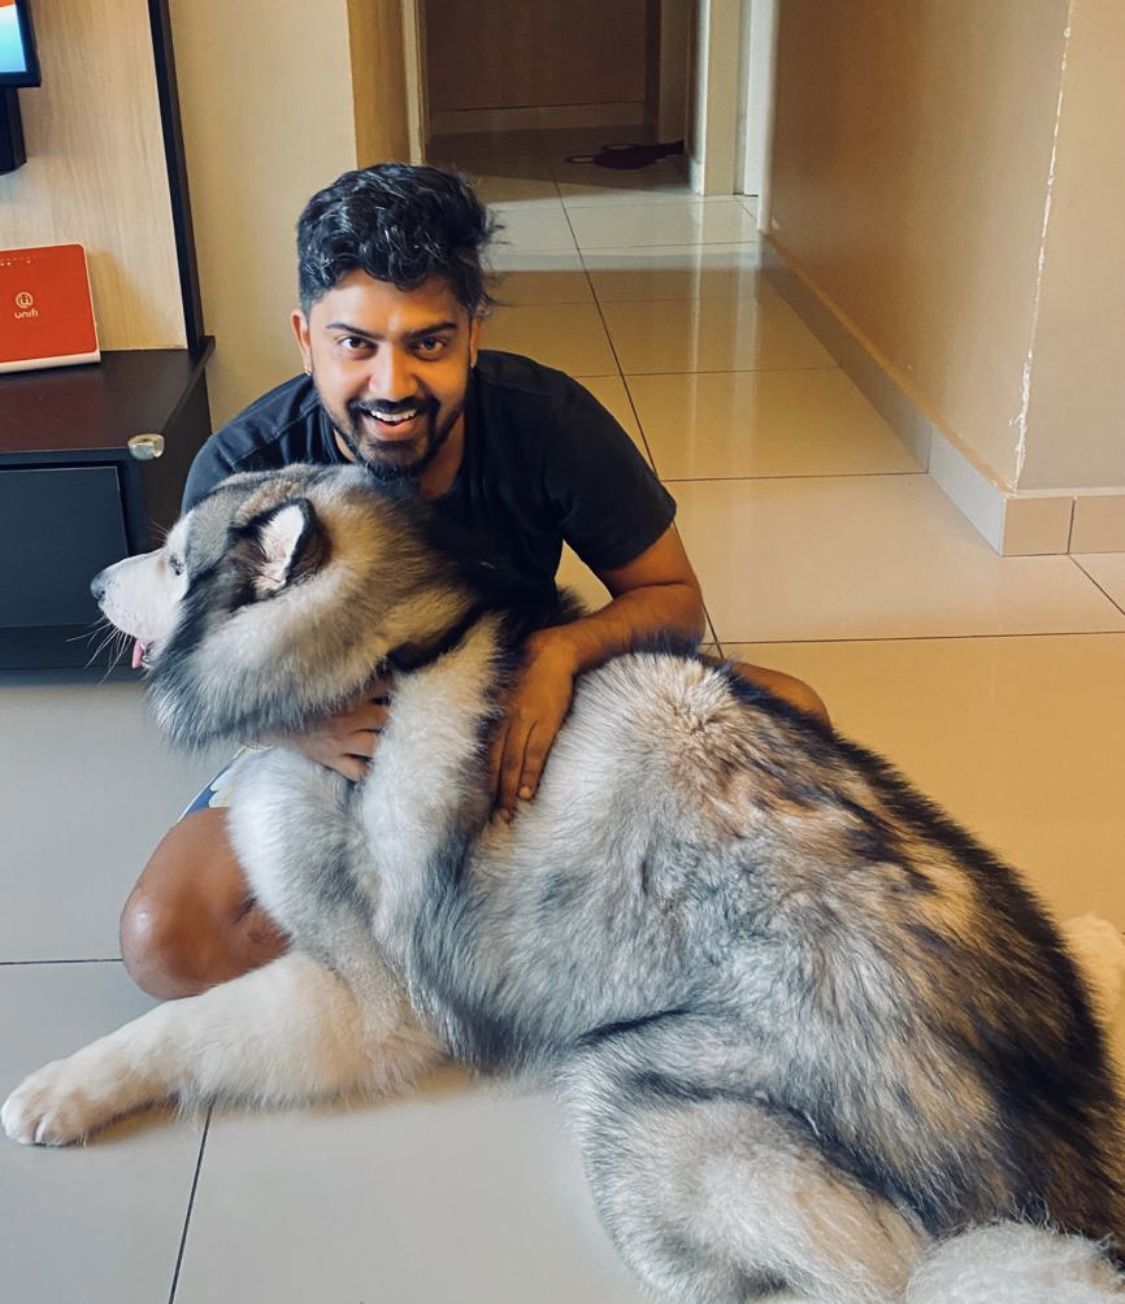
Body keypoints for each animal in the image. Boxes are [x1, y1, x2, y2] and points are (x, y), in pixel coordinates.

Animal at [2, 464, 1125, 1298]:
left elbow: (177, 1027)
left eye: (170, 555)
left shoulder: (368, 1000)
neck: (387, 653)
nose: (90, 583)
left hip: (644, 1107)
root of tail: (1060, 1176)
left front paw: (59, 1091)